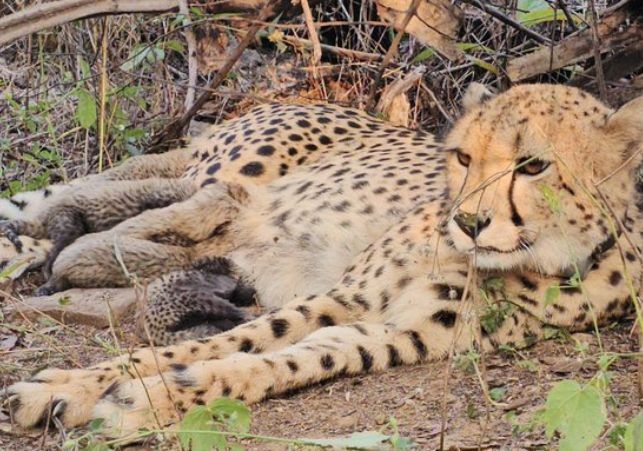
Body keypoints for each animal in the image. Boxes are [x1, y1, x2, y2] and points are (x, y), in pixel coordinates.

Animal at [3, 83, 642, 438]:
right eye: (463, 156)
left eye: (533, 166)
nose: (466, 222)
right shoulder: (345, 295)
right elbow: (222, 342)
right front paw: (70, 385)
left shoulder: (399, 333)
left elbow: (281, 360)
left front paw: (149, 398)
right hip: (228, 170)